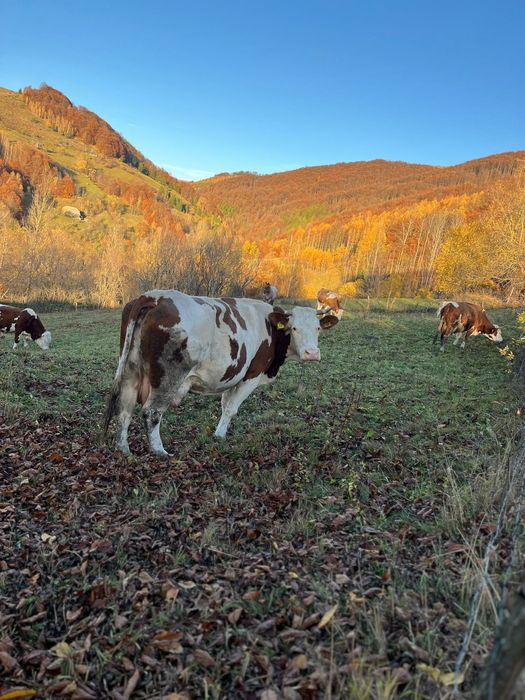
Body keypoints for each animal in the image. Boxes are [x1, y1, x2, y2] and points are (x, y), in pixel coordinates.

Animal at [102, 290, 338, 457]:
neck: (270, 326)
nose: (312, 353)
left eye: (318, 328)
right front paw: (220, 436)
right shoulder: (251, 376)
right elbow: (232, 408)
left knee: (124, 409)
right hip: (167, 378)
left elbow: (225, 405)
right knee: (151, 412)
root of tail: (155, 297)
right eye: (294, 328)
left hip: (131, 372)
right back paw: (159, 451)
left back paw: (123, 449)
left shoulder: (233, 376)